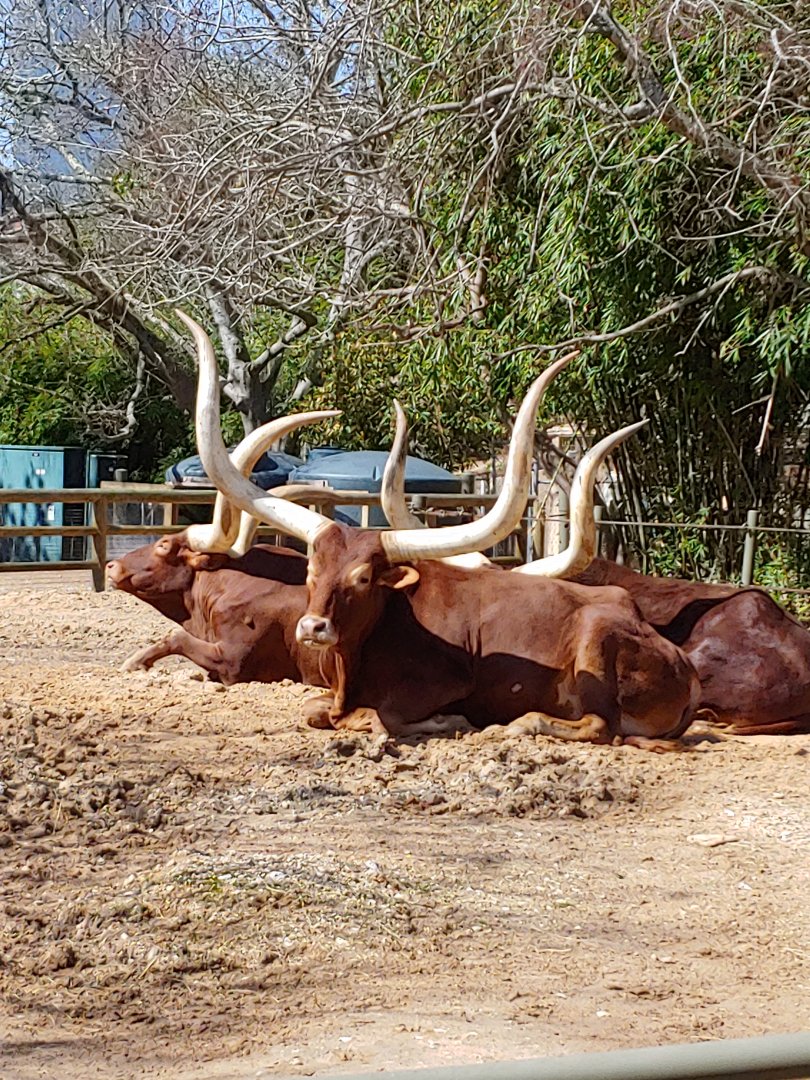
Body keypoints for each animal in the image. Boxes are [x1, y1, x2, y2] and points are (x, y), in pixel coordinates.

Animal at [181, 311, 701, 750]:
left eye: (362, 578)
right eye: (311, 571)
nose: (312, 627)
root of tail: (684, 667)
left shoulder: (446, 683)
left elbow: (377, 717)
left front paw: (447, 721)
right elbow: (317, 710)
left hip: (595, 643)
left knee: (599, 725)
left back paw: (519, 723)